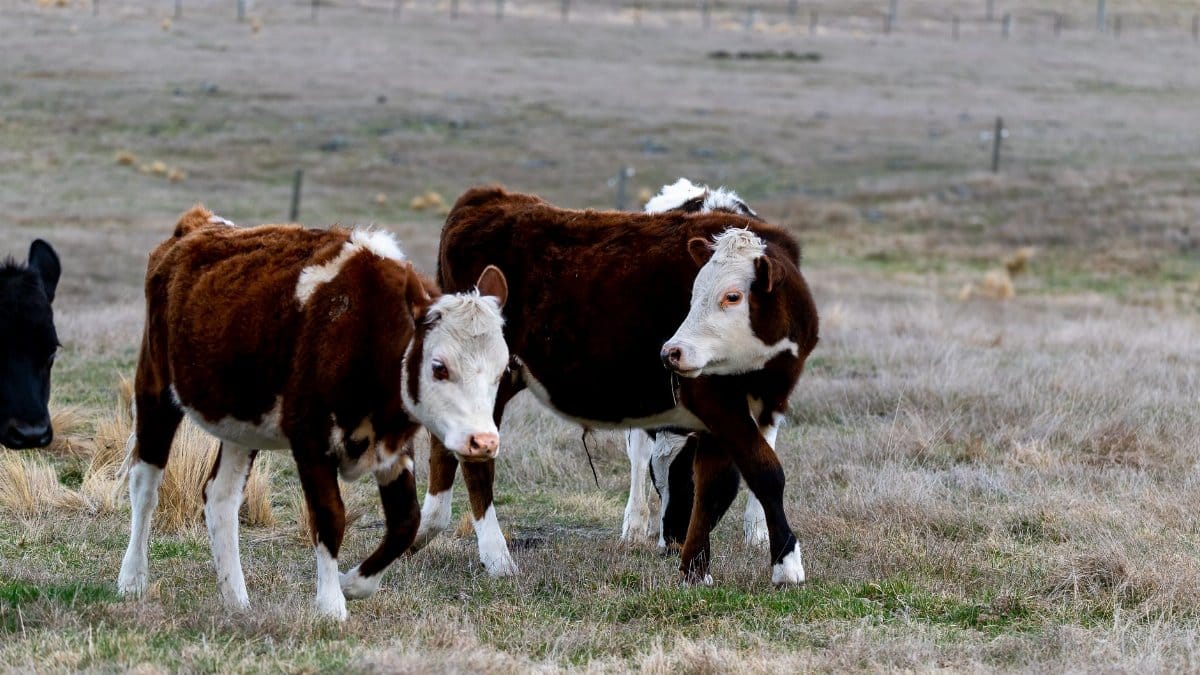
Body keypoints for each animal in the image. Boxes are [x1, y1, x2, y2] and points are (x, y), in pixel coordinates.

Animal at [116, 206, 510, 620]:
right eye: (439, 367)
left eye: (502, 371)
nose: (483, 442)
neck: (365, 328)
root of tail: (197, 225)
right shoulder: (310, 440)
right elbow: (329, 516)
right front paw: (331, 603)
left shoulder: (392, 446)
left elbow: (405, 521)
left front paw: (354, 583)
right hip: (155, 387)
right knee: (145, 483)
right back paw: (132, 578)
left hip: (241, 423)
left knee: (220, 497)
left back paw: (236, 599)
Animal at [409, 184, 819, 586]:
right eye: (693, 293)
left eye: (732, 296)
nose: (670, 539)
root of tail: (487, 197)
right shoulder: (713, 398)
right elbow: (763, 472)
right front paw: (786, 564)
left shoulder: (759, 405)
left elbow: (718, 481)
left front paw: (698, 565)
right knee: (476, 466)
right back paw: (496, 557)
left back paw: (426, 528)